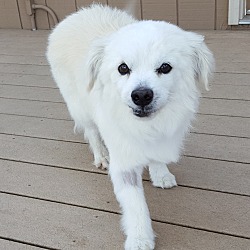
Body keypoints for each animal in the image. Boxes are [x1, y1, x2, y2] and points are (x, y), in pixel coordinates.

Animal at [46, 4, 213, 250]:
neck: (148, 126)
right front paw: (140, 238)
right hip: (80, 107)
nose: (141, 95)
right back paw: (101, 157)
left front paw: (161, 174)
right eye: (123, 68)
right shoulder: (124, 164)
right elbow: (136, 206)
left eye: (165, 67)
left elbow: (157, 158)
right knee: (92, 133)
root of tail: (77, 13)